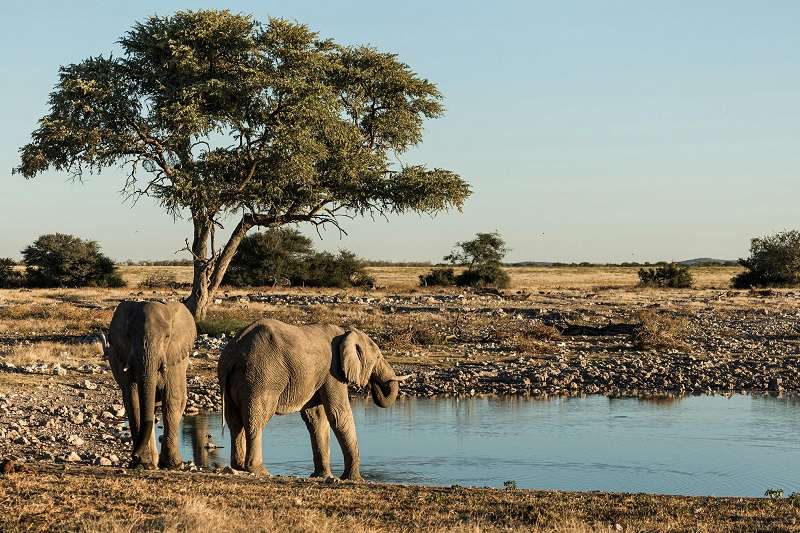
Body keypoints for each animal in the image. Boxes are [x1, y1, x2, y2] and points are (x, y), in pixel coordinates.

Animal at [100, 300, 197, 469]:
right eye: (128, 335)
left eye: (167, 337)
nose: (133, 455)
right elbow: (134, 400)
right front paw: (143, 463)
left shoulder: (174, 358)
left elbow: (172, 399)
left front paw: (172, 465)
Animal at [217, 319, 410, 480]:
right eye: (378, 357)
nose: (373, 386)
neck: (345, 332)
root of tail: (233, 354)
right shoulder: (333, 372)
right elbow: (338, 414)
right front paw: (355, 479)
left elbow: (316, 417)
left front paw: (322, 476)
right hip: (261, 377)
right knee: (256, 420)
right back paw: (259, 471)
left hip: (233, 381)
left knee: (234, 422)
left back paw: (238, 467)